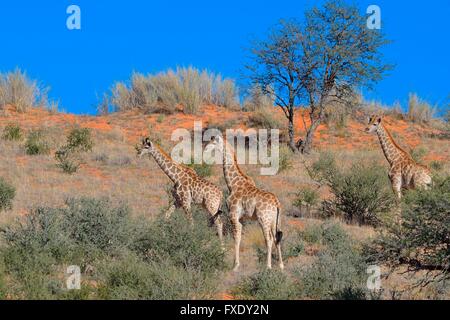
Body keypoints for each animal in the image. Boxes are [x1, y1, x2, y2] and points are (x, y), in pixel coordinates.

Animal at [205, 135, 284, 272]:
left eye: (214, 142)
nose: (205, 149)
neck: (232, 184)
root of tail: (276, 203)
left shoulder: (233, 215)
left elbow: (236, 238)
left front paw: (235, 265)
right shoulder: (241, 218)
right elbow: (239, 237)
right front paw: (235, 263)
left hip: (263, 219)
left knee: (268, 239)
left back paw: (268, 266)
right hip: (275, 221)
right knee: (276, 238)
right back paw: (281, 265)